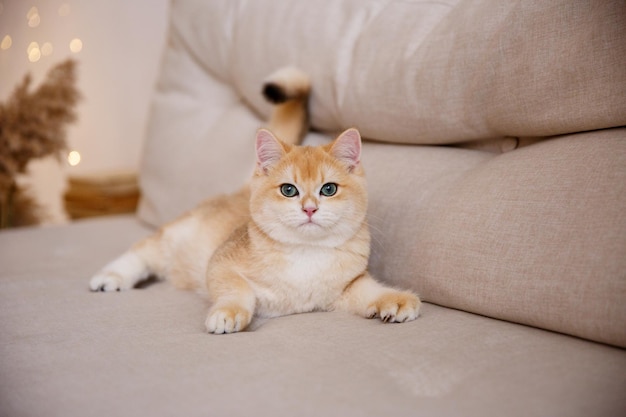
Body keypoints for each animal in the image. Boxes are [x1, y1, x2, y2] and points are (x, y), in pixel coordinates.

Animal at [88, 68, 420, 334]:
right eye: (289, 190)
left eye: (328, 189)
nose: (309, 209)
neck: (306, 254)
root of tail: (244, 188)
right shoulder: (220, 264)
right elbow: (236, 290)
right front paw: (228, 313)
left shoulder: (346, 286)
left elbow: (369, 290)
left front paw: (395, 300)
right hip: (175, 237)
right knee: (143, 252)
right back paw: (111, 276)